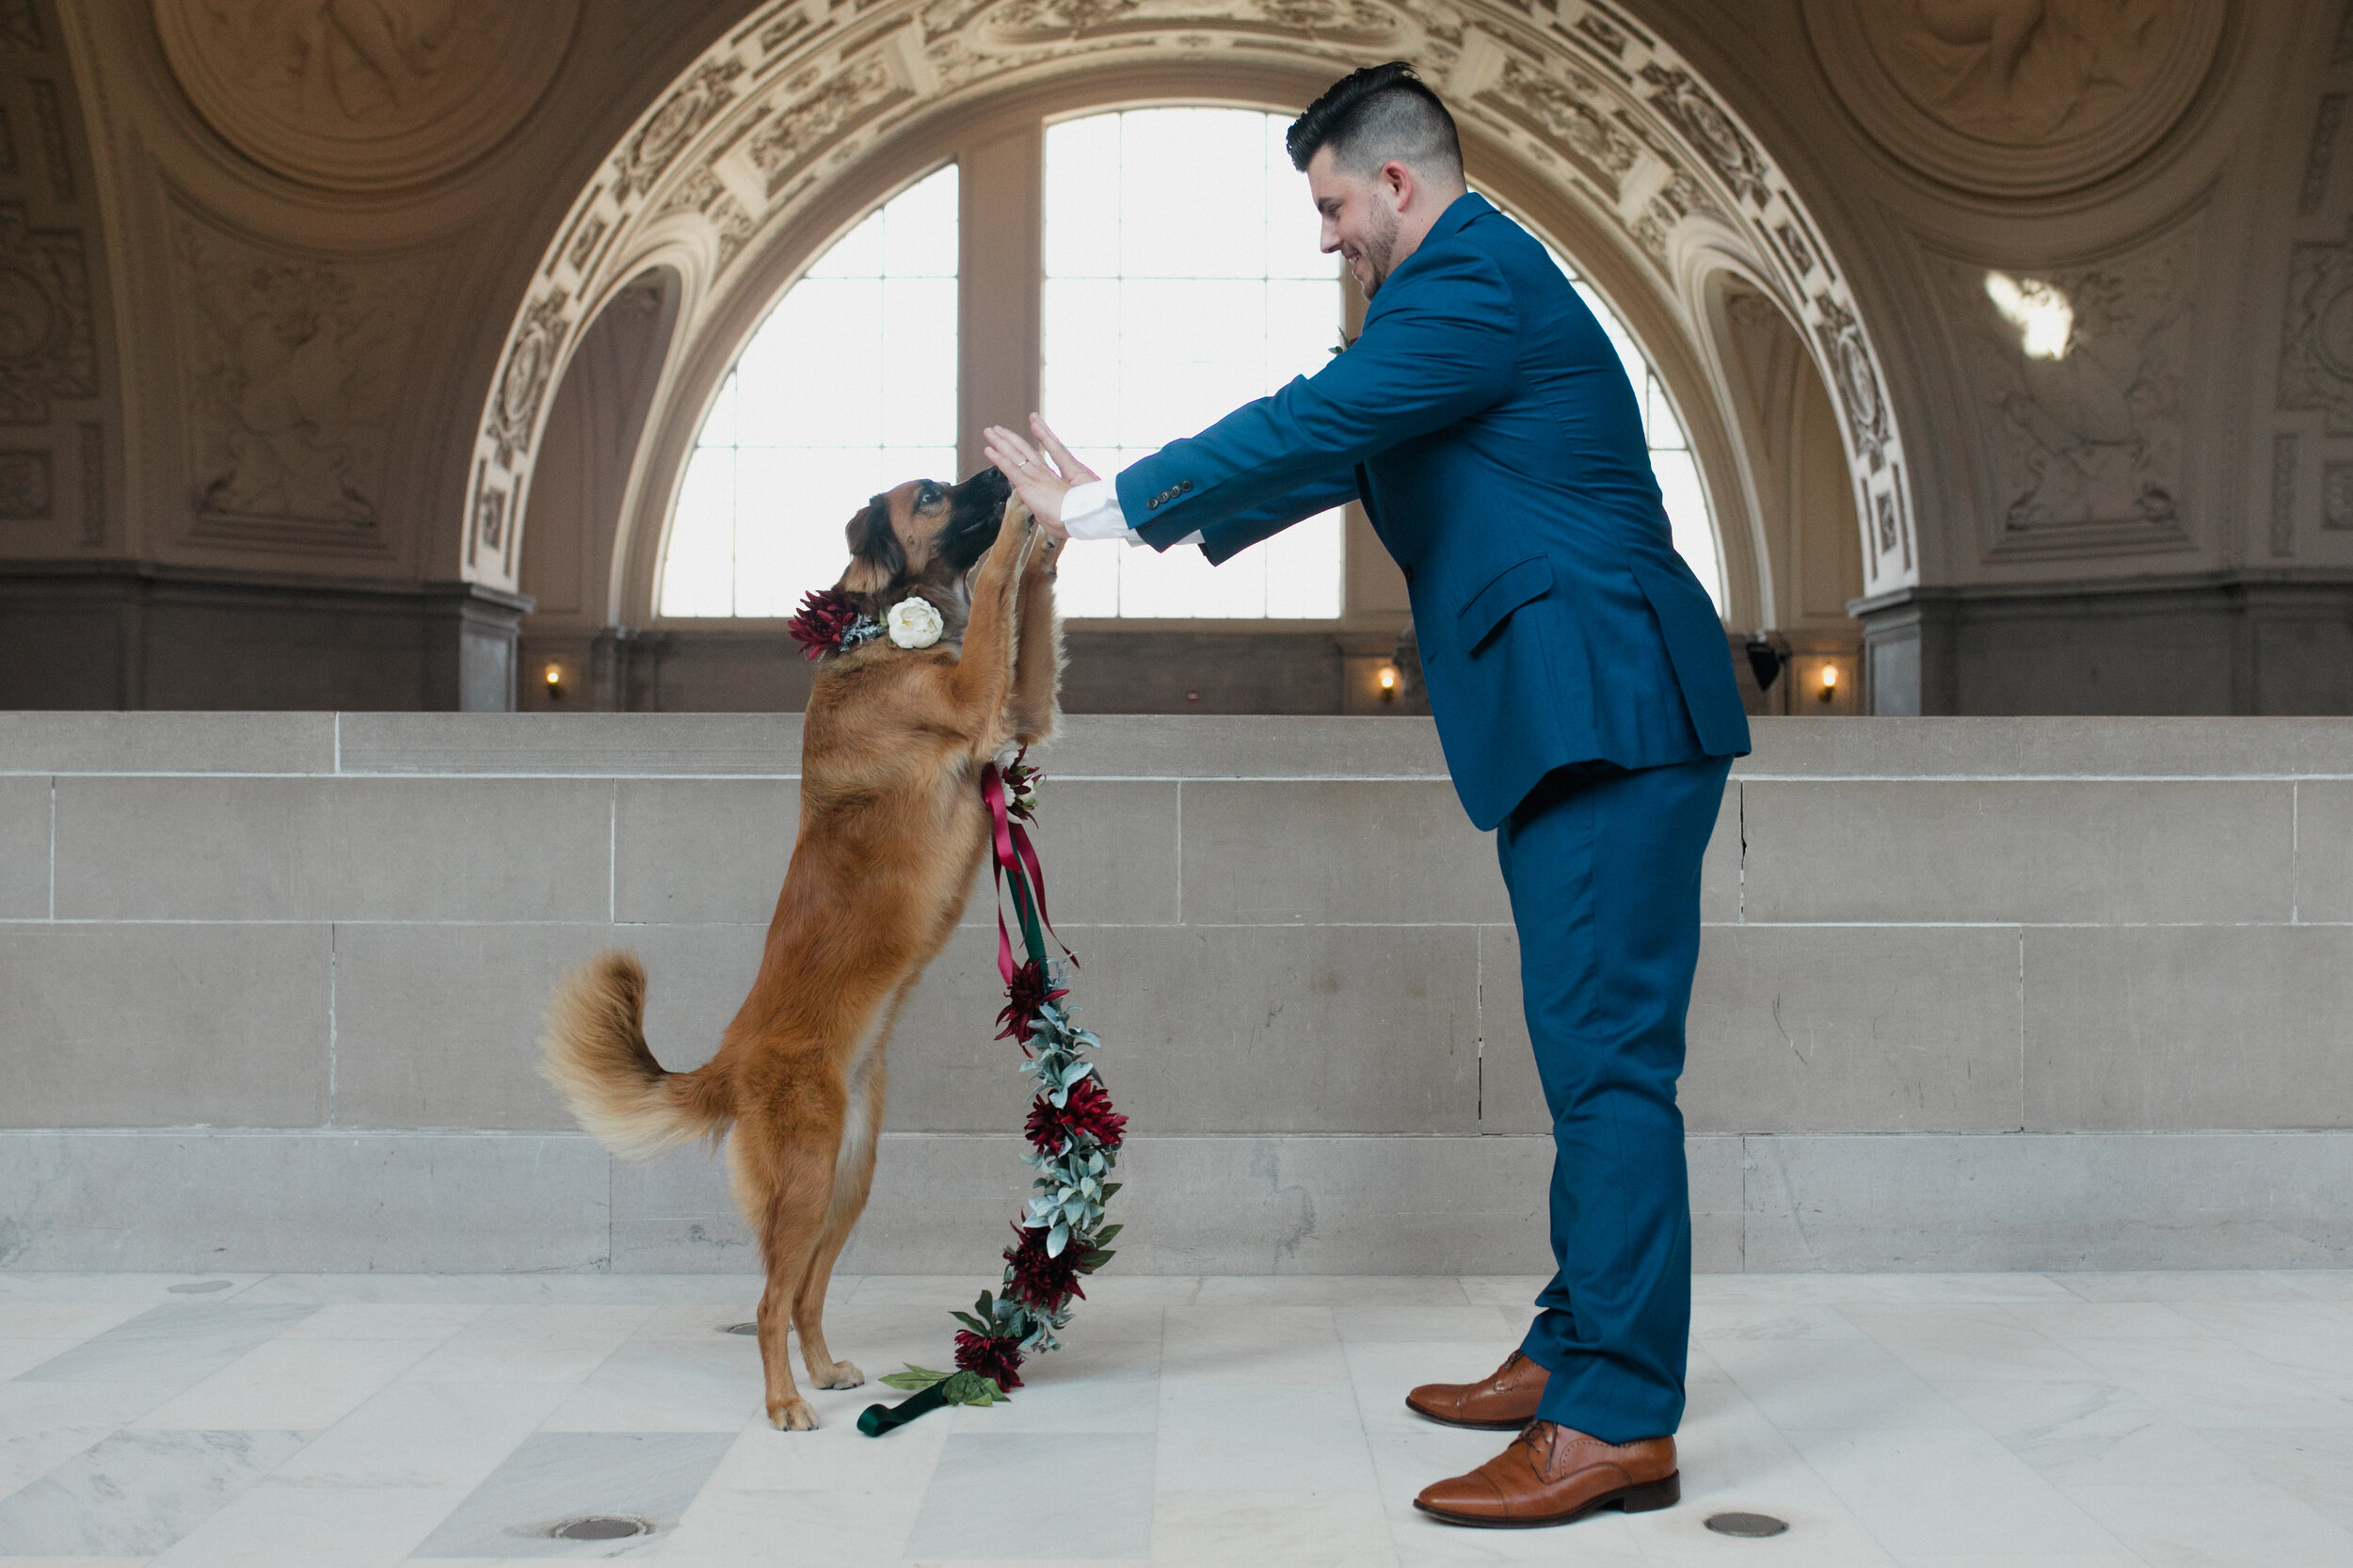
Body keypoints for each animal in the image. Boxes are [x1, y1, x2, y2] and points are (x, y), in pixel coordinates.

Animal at [538, 466, 1064, 1431]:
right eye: (931, 494)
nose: (991, 472)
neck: (881, 629)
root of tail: (731, 1059)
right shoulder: (975, 698)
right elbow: (999, 592)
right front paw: (1022, 520)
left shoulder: (1016, 707)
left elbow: (1025, 613)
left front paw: (1048, 539)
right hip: (808, 1182)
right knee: (767, 1303)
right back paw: (785, 1404)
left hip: (847, 1181)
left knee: (808, 1295)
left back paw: (823, 1374)